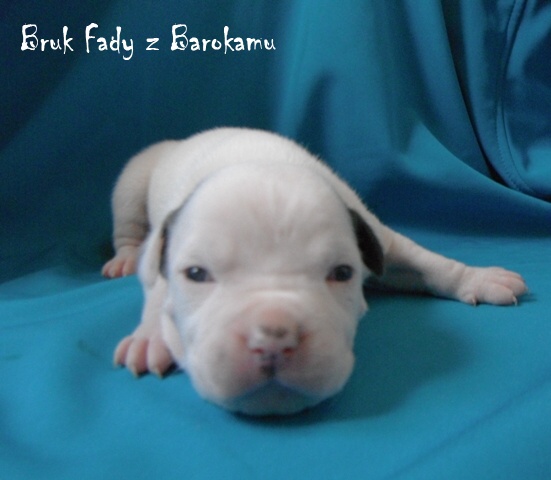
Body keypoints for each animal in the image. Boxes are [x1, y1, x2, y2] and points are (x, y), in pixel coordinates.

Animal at [102, 127, 527, 415]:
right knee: (129, 227)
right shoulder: (165, 252)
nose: (273, 336)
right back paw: (125, 258)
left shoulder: (381, 241)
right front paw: (149, 337)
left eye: (341, 273)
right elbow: (157, 292)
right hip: (132, 181)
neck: (263, 165)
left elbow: (430, 264)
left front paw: (479, 278)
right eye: (196, 274)